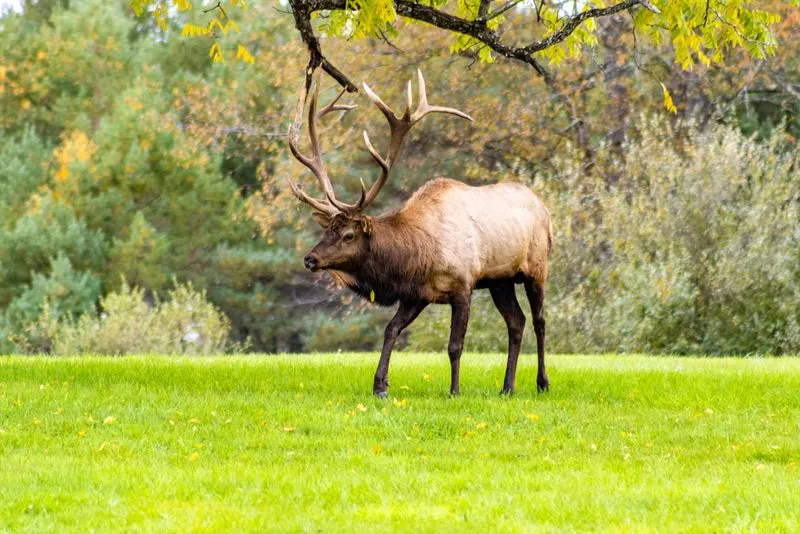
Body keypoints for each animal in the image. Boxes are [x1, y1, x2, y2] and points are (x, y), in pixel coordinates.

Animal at [287, 69, 553, 398]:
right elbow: (390, 329)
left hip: (537, 268)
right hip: (499, 280)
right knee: (517, 322)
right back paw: (507, 388)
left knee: (540, 320)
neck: (416, 256)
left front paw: (454, 391)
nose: (310, 259)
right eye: (328, 230)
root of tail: (544, 207)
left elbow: (455, 345)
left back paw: (542, 382)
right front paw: (380, 386)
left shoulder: (463, 285)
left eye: (348, 235)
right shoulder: (416, 293)